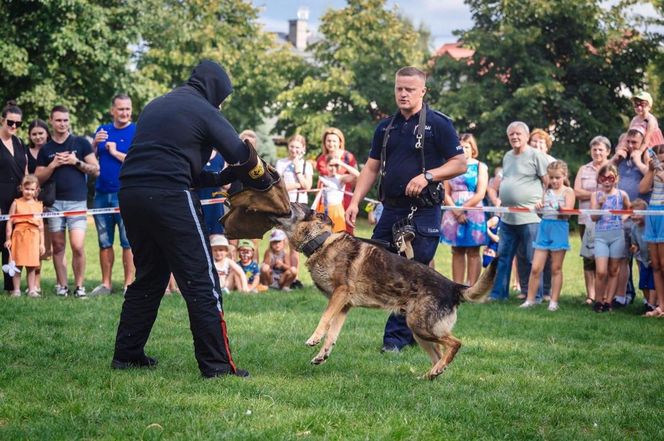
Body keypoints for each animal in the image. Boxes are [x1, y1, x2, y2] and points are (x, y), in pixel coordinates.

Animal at [272, 203, 496, 378]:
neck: (320, 243)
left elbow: (325, 319)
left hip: (421, 326)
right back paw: (431, 374)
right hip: (419, 332)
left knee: (455, 343)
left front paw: (314, 338)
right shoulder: (344, 306)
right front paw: (322, 355)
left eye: (292, 205)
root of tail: (453, 286)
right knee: (440, 355)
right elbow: (332, 335)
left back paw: (435, 371)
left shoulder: (340, 294)